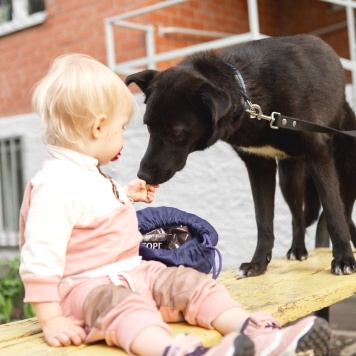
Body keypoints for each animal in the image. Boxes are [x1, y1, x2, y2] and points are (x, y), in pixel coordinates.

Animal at [125, 34, 356, 276]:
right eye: (148, 126)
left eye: (175, 132)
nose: (143, 175)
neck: (248, 94)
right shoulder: (259, 166)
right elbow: (263, 221)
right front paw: (258, 263)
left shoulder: (318, 154)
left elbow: (333, 211)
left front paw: (343, 259)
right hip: (289, 180)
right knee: (297, 215)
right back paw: (297, 249)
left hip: (345, 169)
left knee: (343, 211)